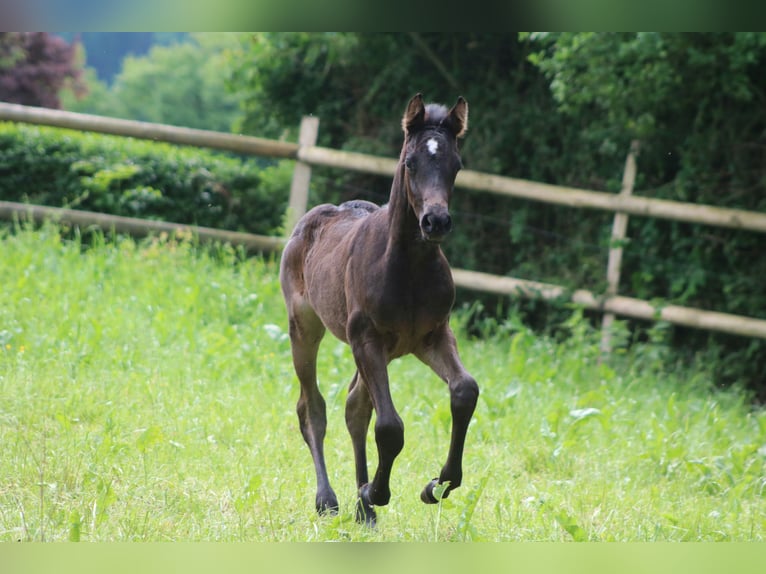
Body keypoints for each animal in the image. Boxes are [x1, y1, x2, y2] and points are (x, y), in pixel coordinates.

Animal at [276, 93, 480, 528]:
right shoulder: (366, 339)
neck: (408, 269)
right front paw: (378, 491)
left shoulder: (432, 336)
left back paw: (363, 509)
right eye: (410, 163)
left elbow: (464, 391)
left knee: (355, 407)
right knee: (312, 408)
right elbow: (389, 426)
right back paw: (330, 500)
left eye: (456, 165)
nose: (435, 221)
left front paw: (436, 486)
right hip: (305, 327)